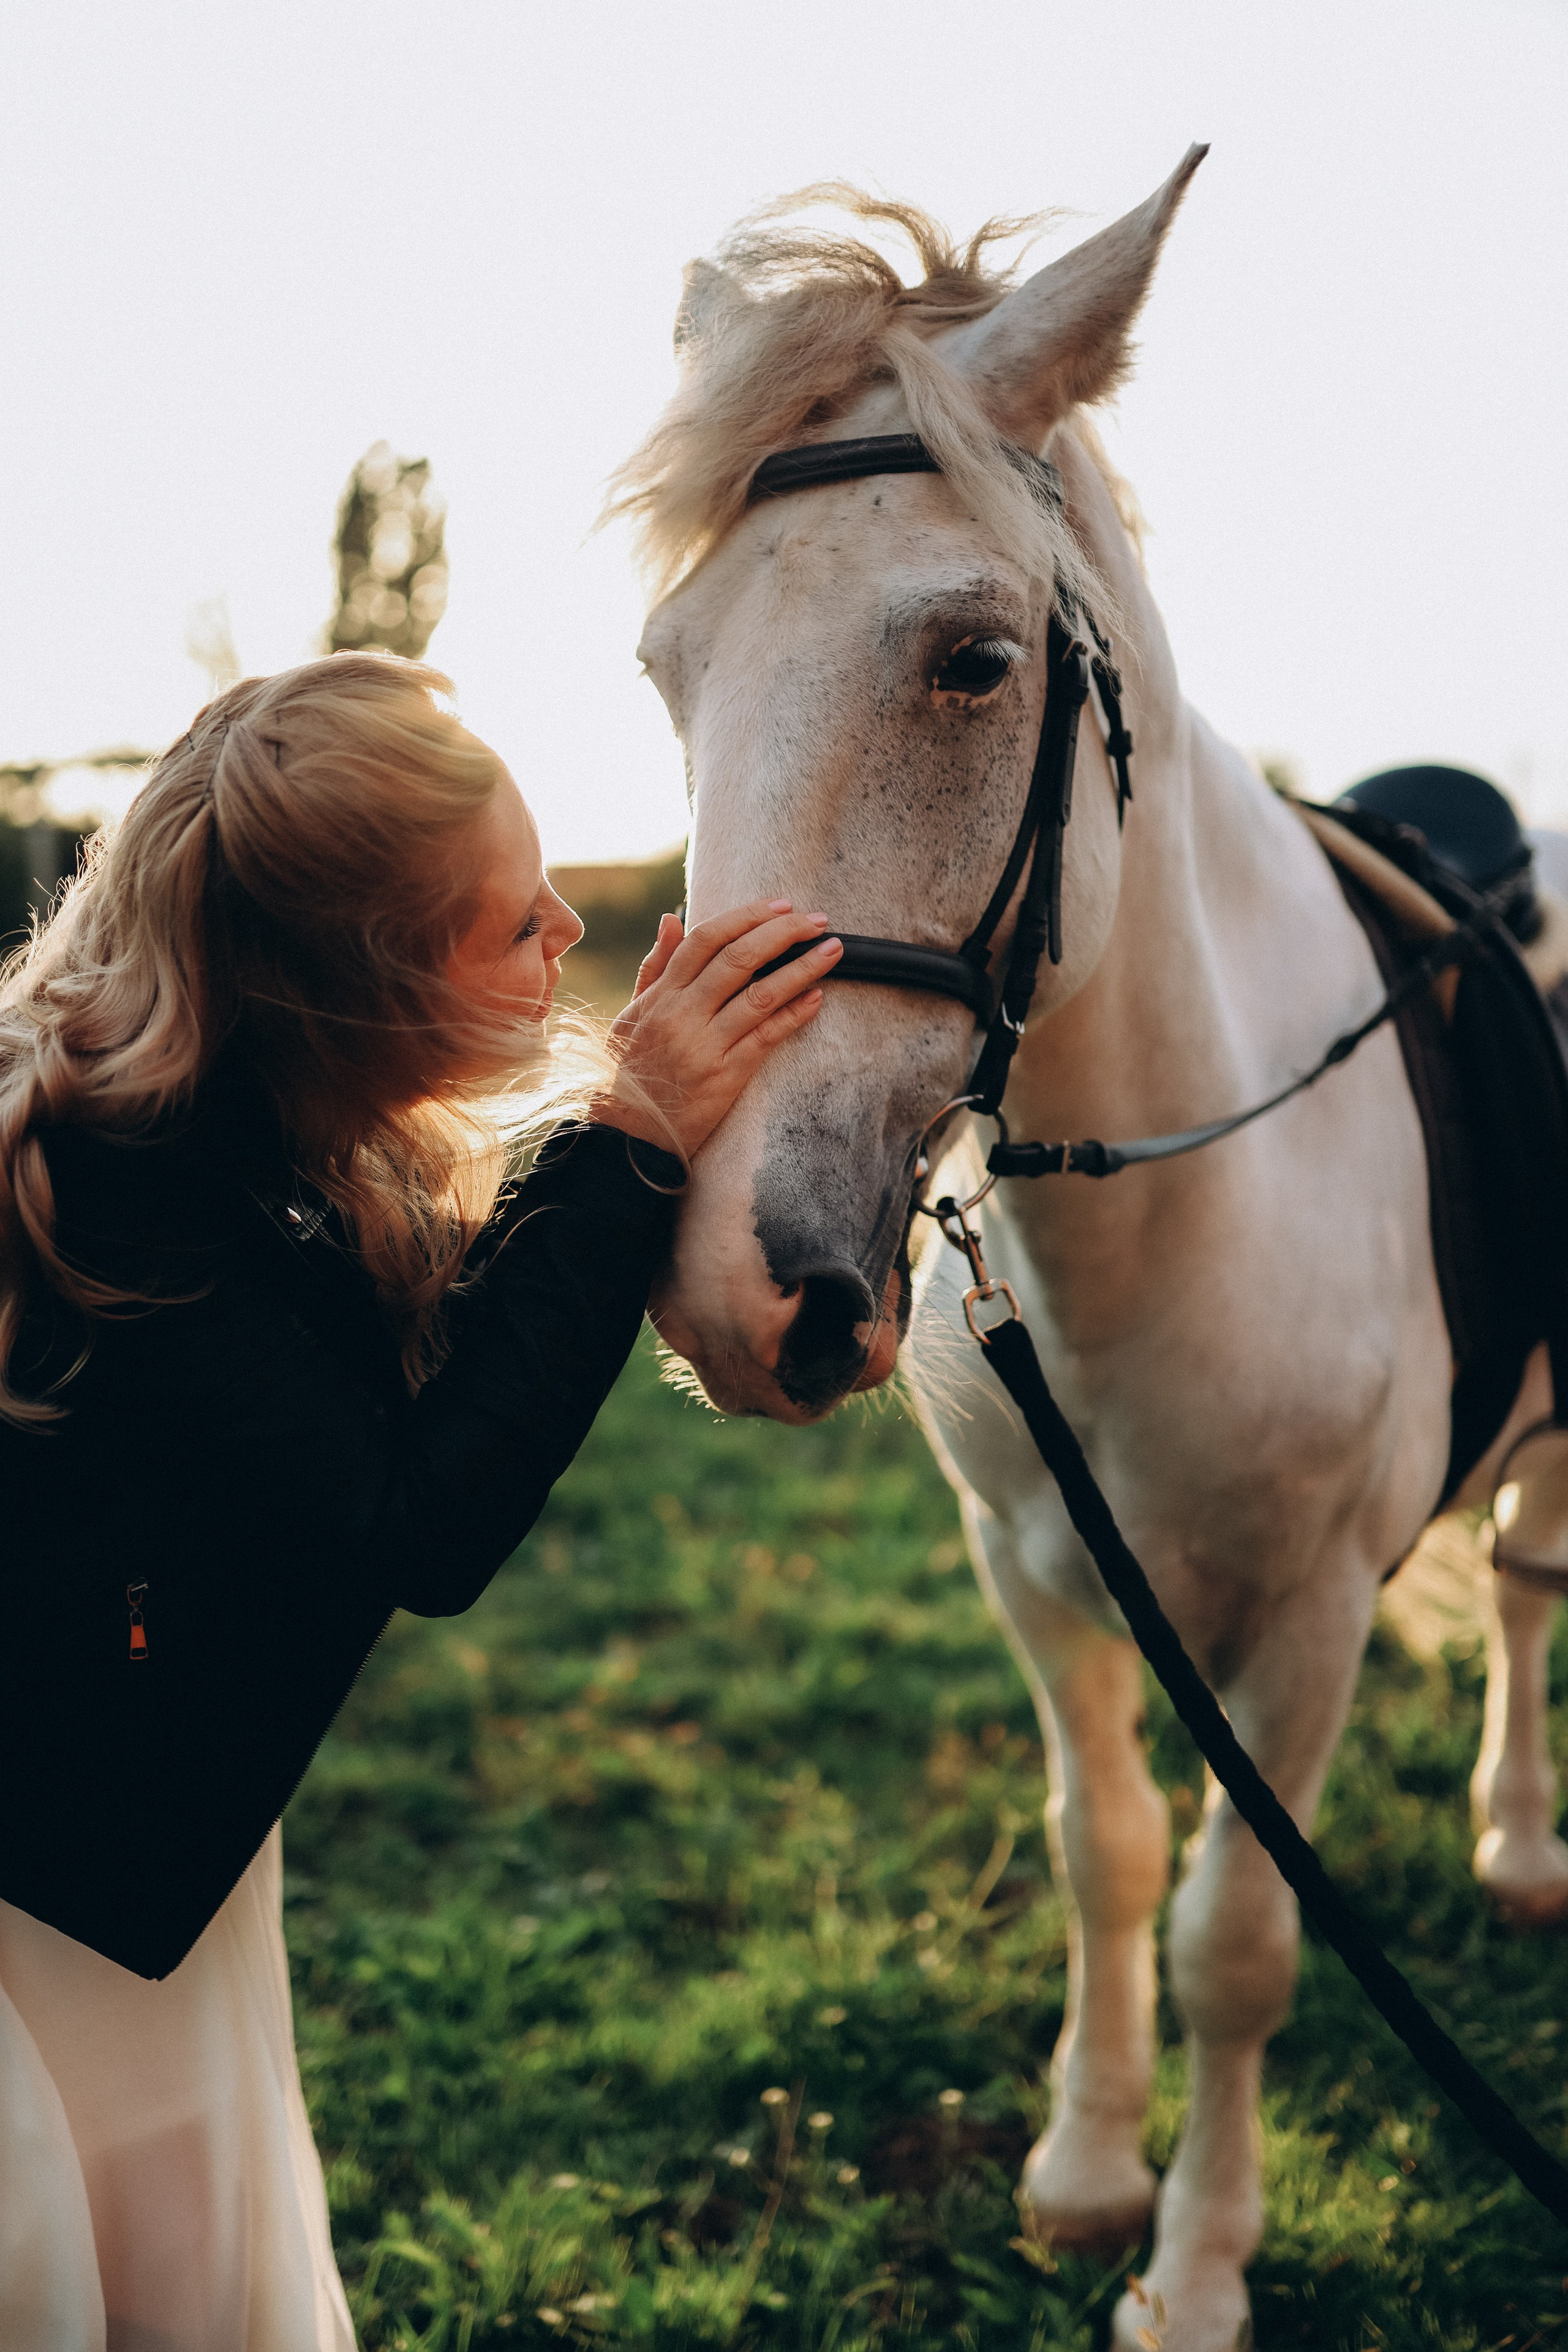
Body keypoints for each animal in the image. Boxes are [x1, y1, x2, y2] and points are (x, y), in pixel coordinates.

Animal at [610, 151, 1568, 2350]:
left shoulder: (1304, 1621)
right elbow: (1108, 1852)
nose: (734, 1284)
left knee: (1532, 1572)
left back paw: (1521, 1845)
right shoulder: (1037, 1577)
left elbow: (1238, 1935)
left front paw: (1196, 2269)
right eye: (666, 669)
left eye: (974, 662)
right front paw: (1081, 2171)